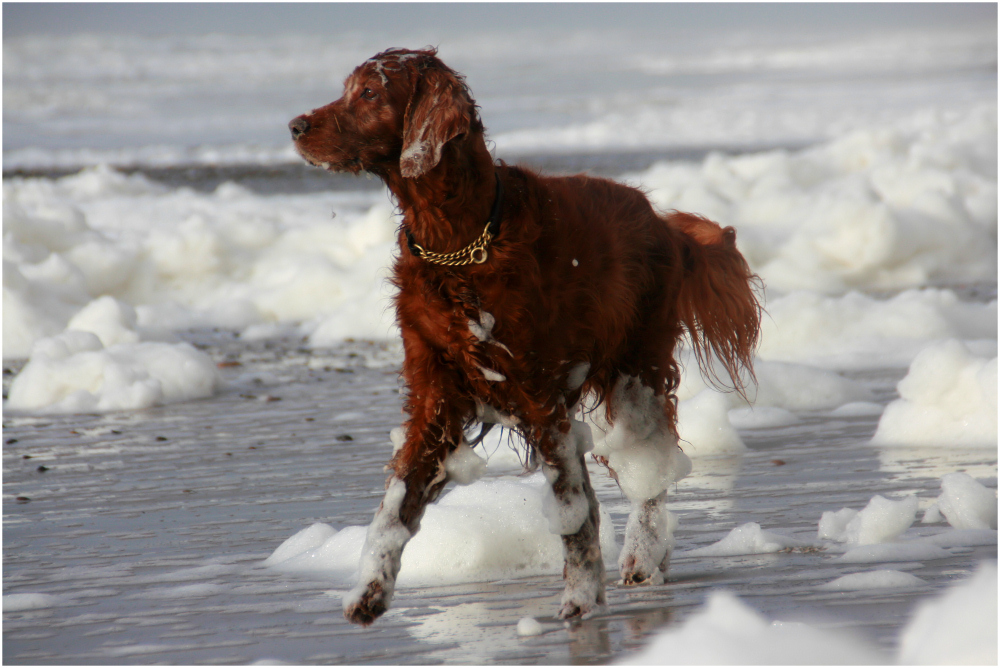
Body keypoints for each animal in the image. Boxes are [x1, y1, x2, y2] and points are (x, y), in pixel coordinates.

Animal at [290, 48, 756, 628]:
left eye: (370, 93)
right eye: (347, 89)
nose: (295, 126)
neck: (460, 239)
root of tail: (664, 224)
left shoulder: (539, 396)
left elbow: (574, 513)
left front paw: (581, 598)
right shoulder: (435, 397)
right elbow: (396, 505)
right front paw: (369, 588)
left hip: (638, 370)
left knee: (650, 475)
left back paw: (643, 555)